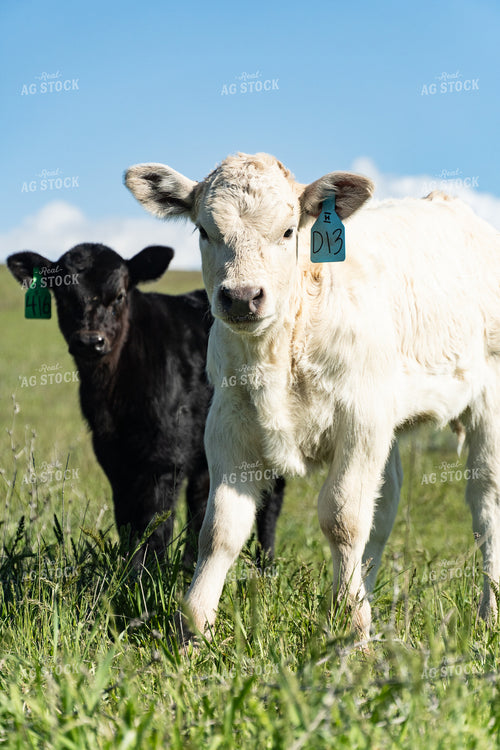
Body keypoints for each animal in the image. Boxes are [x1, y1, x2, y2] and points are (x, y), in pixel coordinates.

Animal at [7, 243, 285, 568]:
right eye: (62, 296)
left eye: (119, 295)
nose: (90, 341)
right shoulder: (114, 459)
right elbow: (128, 523)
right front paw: (130, 571)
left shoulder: (164, 460)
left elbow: (155, 525)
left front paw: (148, 576)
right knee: (202, 497)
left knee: (271, 500)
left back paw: (266, 566)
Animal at [125, 152, 500, 640]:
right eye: (205, 231)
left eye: (288, 232)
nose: (242, 297)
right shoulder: (227, 425)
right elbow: (221, 530)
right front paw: (193, 628)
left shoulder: (361, 420)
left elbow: (343, 519)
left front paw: (352, 627)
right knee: (385, 507)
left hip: (487, 402)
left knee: (486, 504)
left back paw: (488, 613)